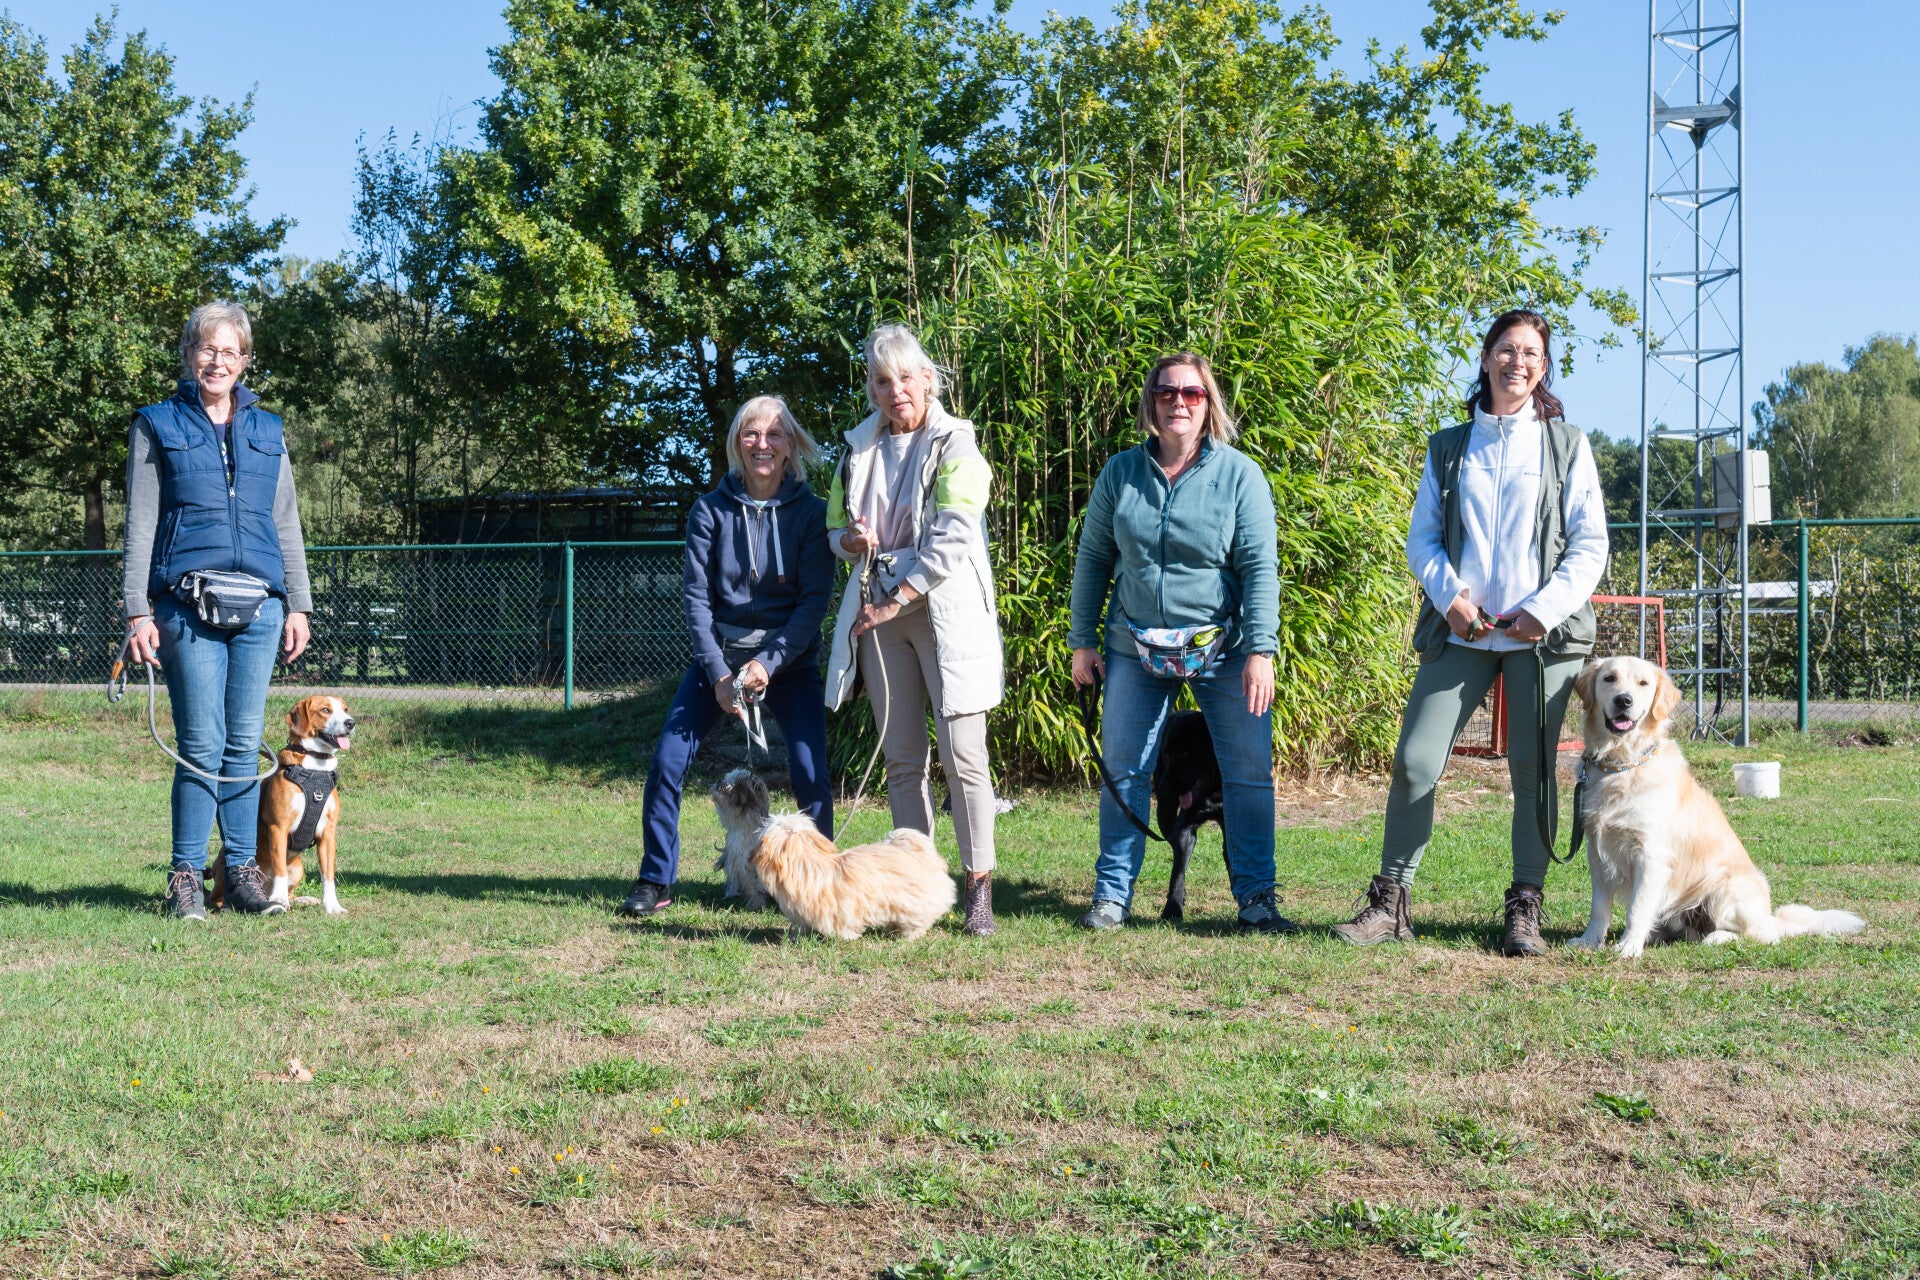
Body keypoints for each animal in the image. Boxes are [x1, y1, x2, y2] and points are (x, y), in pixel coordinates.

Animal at [211, 694, 355, 916]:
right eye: (325, 710)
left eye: (345, 709)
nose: (351, 723)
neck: (315, 767)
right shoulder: (279, 828)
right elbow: (279, 868)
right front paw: (279, 899)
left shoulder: (328, 834)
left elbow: (328, 876)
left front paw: (332, 906)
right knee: (214, 897)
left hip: (298, 868)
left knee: (292, 891)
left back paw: (303, 899)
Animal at [711, 768, 775, 910]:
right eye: (727, 778)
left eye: (736, 783)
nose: (719, 781)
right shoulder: (736, 860)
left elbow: (755, 887)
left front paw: (756, 904)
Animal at [749, 813, 956, 940]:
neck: (806, 865)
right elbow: (802, 926)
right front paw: (798, 937)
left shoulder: (840, 909)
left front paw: (847, 936)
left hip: (913, 901)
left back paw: (908, 936)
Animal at [1153, 710, 1227, 921]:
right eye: (1167, 754)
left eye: (1186, 754)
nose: (1162, 786)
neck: (1212, 792)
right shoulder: (1185, 827)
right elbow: (1178, 872)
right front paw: (1172, 908)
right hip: (1165, 814)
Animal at [1569, 656, 1863, 957]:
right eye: (1609, 678)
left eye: (1643, 683)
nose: (1623, 700)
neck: (1622, 766)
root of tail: (1769, 917)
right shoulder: (1597, 852)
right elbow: (1599, 907)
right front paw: (1589, 940)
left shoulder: (1651, 855)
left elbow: (1637, 908)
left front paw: (1628, 946)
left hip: (1726, 888)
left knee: (1757, 935)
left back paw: (1718, 937)